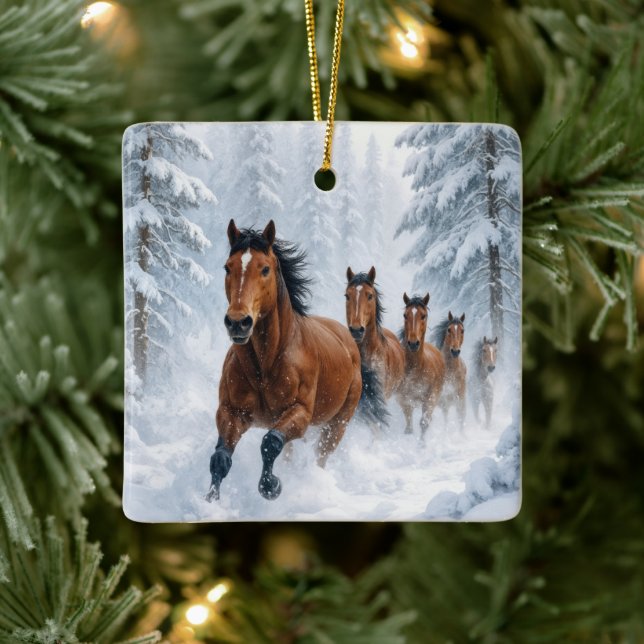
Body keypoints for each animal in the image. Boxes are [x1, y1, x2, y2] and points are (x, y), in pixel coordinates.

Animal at [206, 219, 363, 503]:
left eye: (265, 269)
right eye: (228, 267)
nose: (237, 322)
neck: (265, 366)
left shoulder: (299, 412)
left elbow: (270, 443)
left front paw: (271, 487)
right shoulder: (230, 412)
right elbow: (220, 459)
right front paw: (210, 500)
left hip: (338, 423)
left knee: (321, 454)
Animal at [397, 293, 445, 441]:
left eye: (423, 315)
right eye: (405, 315)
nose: (413, 343)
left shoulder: (430, 398)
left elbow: (424, 423)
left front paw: (421, 444)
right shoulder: (404, 399)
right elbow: (408, 425)